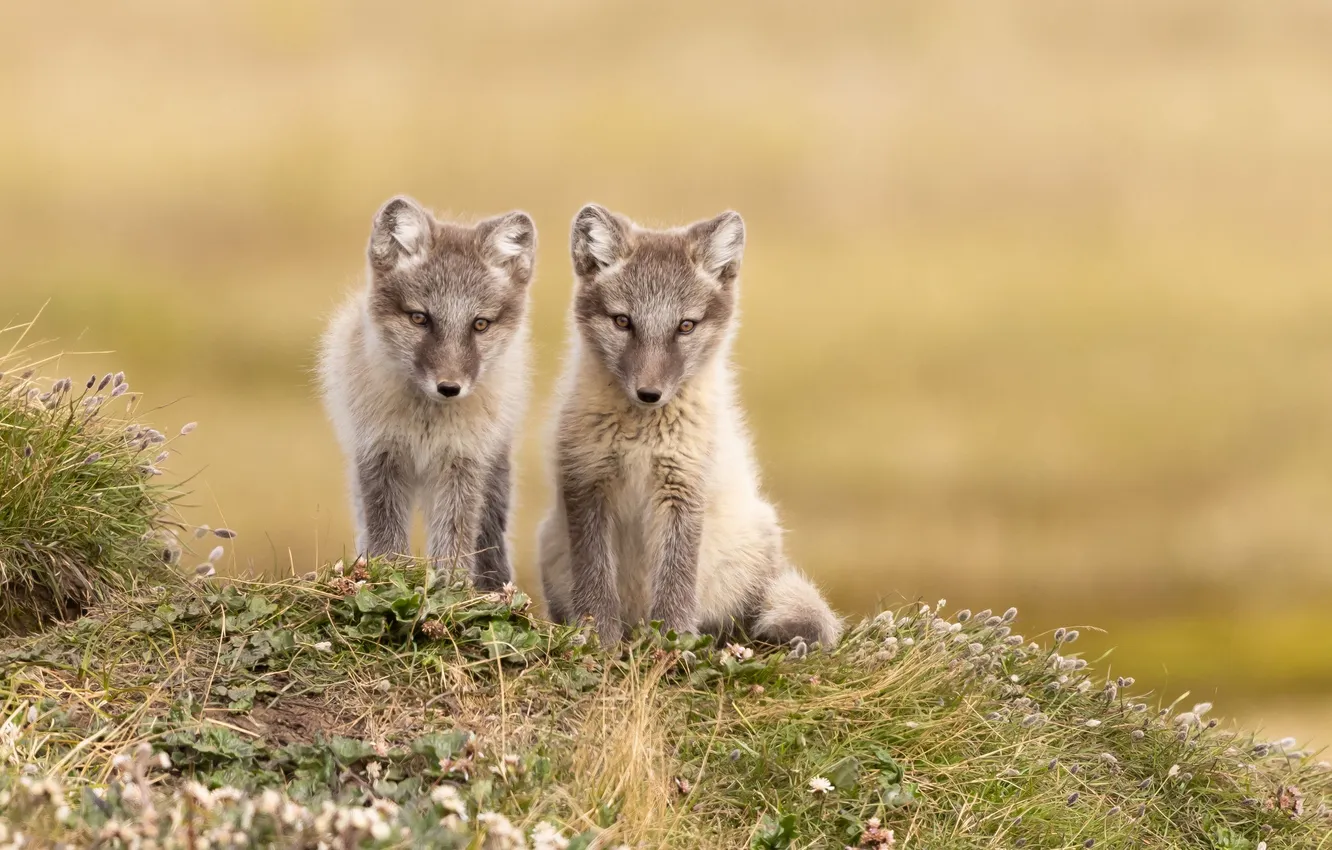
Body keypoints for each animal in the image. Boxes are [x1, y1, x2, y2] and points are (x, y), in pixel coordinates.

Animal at [318, 195, 535, 590]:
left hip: (493, 470)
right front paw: (388, 578)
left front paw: (452, 589)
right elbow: (386, 536)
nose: (449, 387)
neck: (426, 424)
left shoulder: (463, 462)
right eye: (420, 318)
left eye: (480, 324)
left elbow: (454, 537)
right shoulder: (379, 454)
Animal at [537, 204, 843, 650]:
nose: (649, 393)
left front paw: (672, 643)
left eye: (685, 326)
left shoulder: (683, 486)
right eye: (623, 321)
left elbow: (676, 578)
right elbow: (595, 580)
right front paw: (599, 640)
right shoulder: (587, 483)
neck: (641, 439)